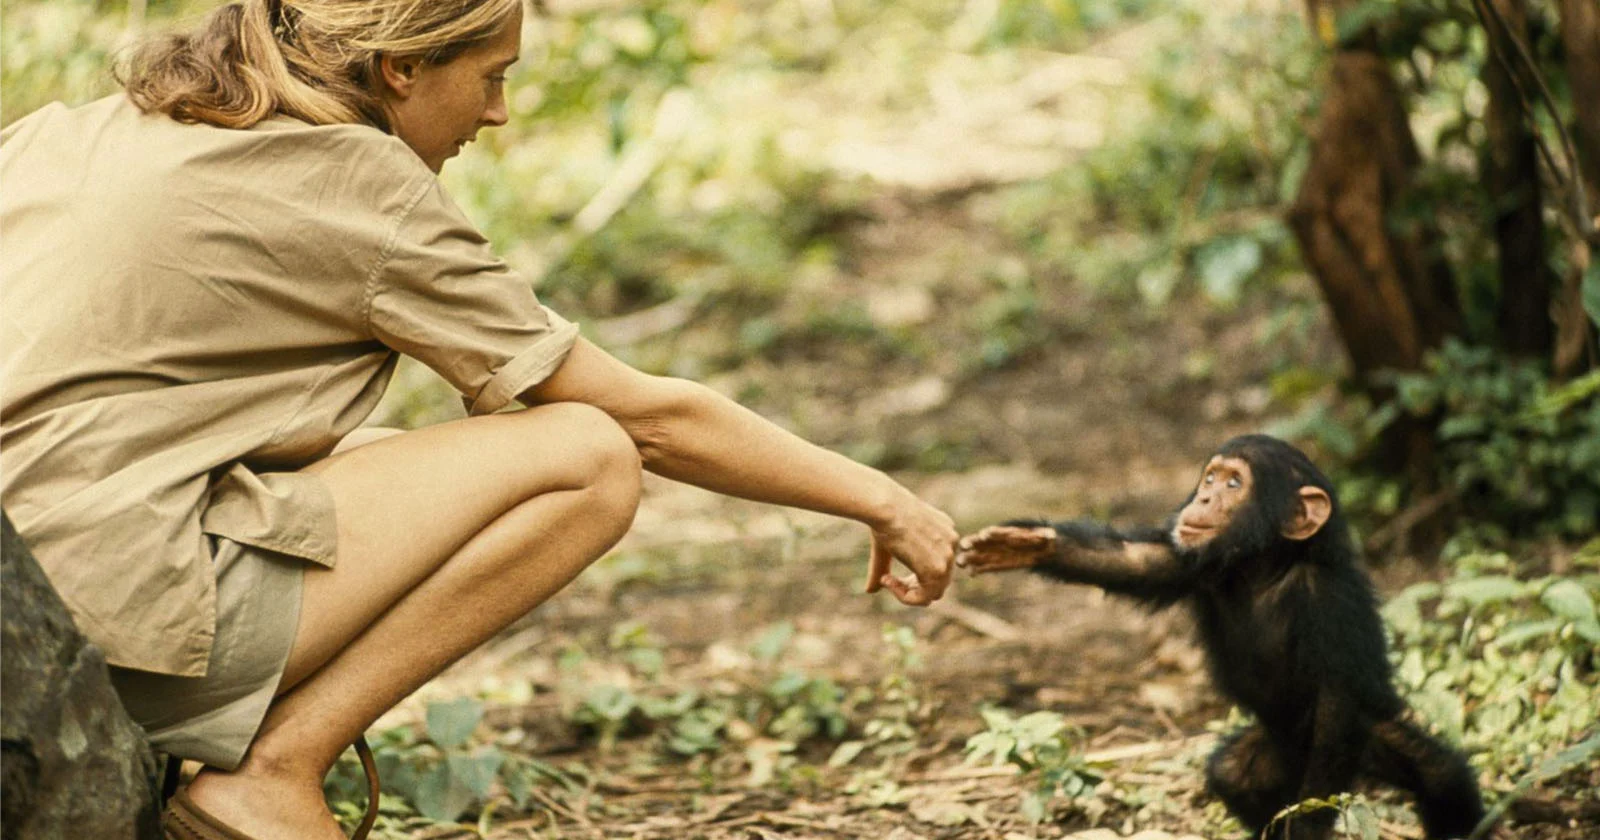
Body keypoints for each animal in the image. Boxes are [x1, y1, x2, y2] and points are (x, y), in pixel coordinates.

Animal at [956, 435, 1486, 840]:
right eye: (1210, 478)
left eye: (1235, 484)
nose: (1205, 498)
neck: (1265, 567)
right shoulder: (1192, 561)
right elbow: (1131, 562)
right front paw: (1023, 544)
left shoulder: (1329, 603)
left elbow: (1337, 700)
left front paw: (1309, 824)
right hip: (1275, 751)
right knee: (1234, 775)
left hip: (1367, 739)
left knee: (1442, 778)